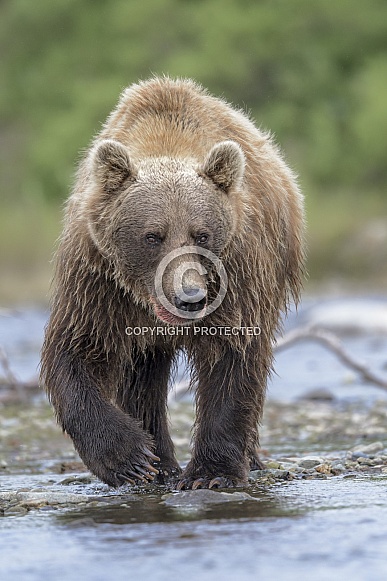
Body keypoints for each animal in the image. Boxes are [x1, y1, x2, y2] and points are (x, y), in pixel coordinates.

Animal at [40, 75, 306, 488]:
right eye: (153, 235)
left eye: (202, 234)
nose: (190, 296)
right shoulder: (96, 278)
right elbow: (76, 350)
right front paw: (131, 458)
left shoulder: (237, 271)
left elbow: (233, 357)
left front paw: (212, 474)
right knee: (142, 375)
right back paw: (160, 463)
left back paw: (249, 459)